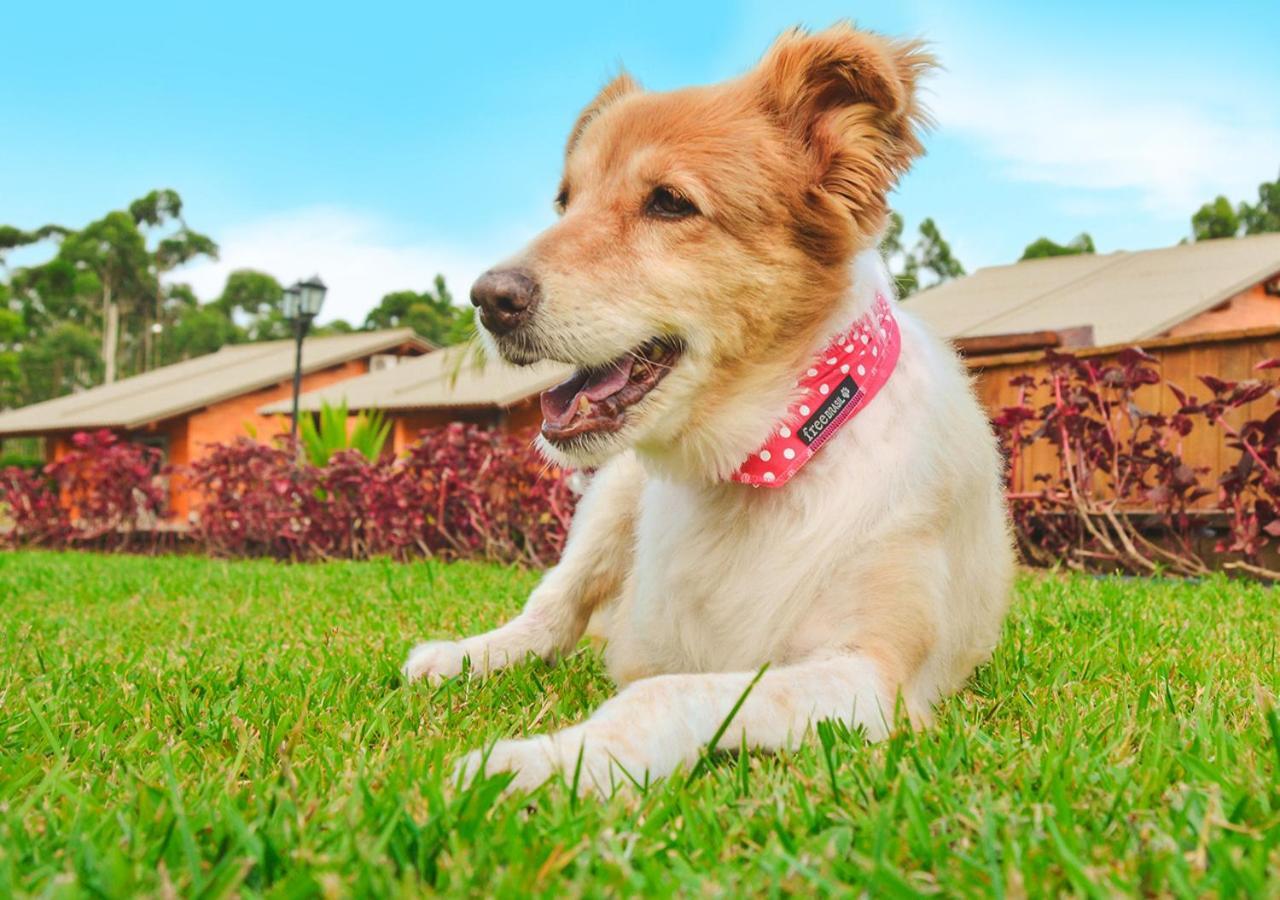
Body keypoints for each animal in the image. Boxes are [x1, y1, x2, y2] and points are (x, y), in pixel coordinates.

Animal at [404, 22, 1013, 793]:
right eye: (565, 202)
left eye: (669, 202)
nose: (487, 299)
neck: (761, 459)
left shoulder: (871, 677)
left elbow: (662, 694)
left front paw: (546, 764)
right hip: (610, 497)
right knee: (552, 610)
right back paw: (461, 656)